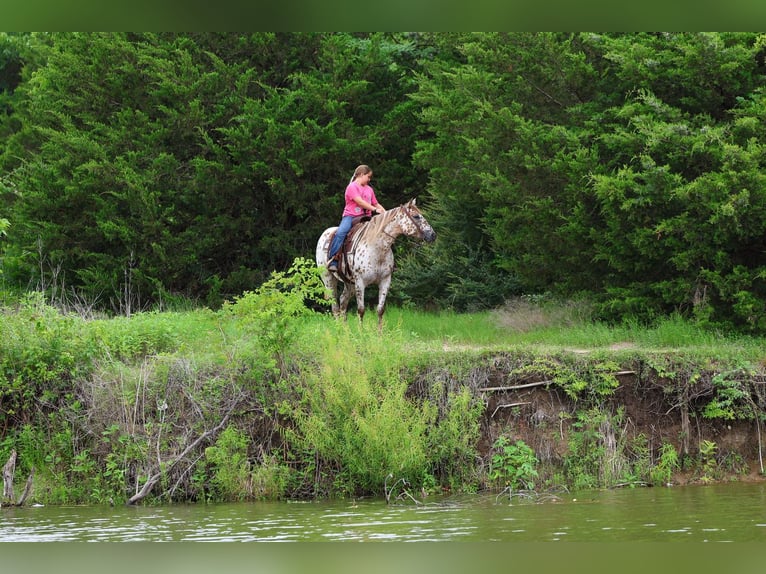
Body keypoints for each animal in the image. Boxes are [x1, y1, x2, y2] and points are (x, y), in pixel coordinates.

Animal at [315, 198, 436, 330]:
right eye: (416, 216)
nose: (433, 235)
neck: (377, 248)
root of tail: (325, 234)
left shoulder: (385, 281)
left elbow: (380, 310)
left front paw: (379, 333)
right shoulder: (360, 282)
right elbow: (361, 310)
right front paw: (361, 332)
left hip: (349, 283)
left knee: (342, 301)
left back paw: (345, 329)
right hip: (328, 279)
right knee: (334, 306)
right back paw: (339, 329)